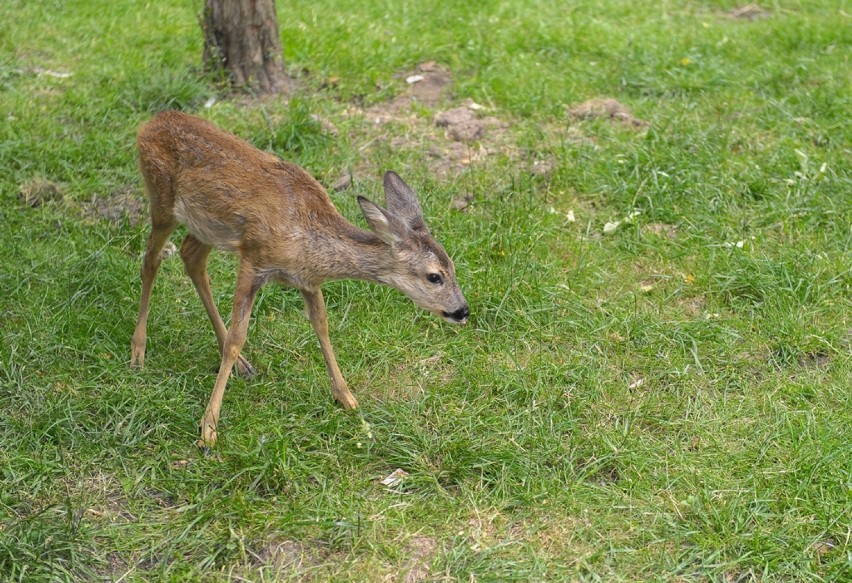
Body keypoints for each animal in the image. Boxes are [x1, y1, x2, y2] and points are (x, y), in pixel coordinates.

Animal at [130, 110, 470, 448]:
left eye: (453, 266)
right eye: (435, 276)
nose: (463, 310)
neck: (308, 239)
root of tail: (151, 122)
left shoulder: (308, 280)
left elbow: (322, 326)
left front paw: (347, 397)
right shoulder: (253, 259)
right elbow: (237, 340)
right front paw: (208, 428)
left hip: (206, 226)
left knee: (191, 257)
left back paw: (243, 365)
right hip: (161, 199)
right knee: (150, 261)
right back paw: (138, 351)